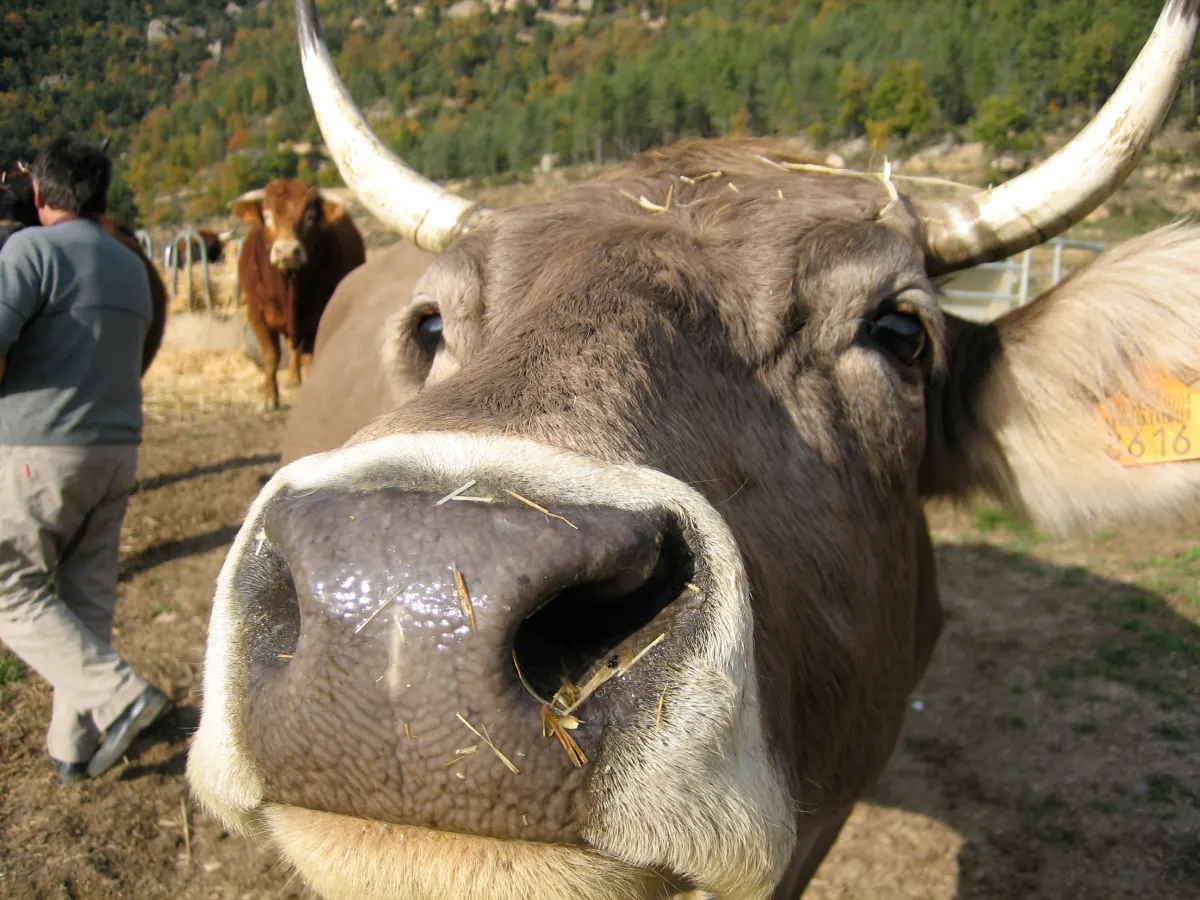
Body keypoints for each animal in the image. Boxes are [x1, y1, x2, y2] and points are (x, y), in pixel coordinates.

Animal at [231, 180, 366, 410]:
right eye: (267, 215)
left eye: (309, 216)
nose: (287, 251)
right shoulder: (256, 313)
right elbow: (271, 355)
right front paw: (270, 398)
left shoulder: (318, 315)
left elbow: (309, 356)